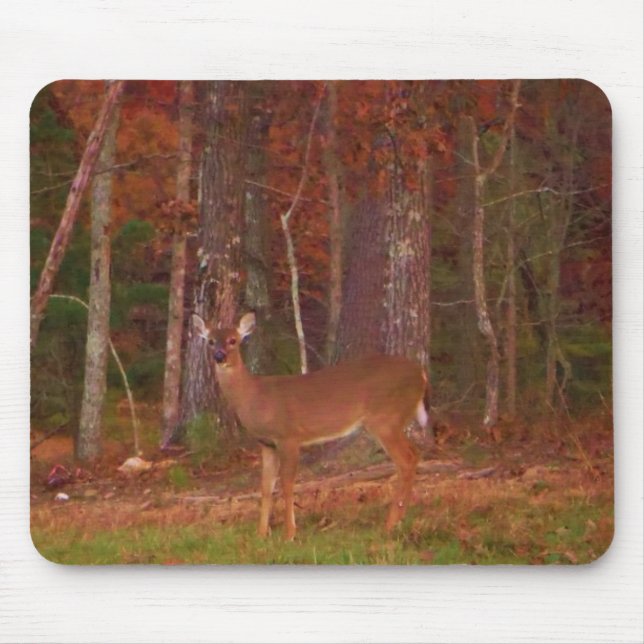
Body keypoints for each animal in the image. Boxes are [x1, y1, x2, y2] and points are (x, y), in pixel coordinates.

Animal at [192, 312, 430, 540]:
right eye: (211, 341)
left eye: (233, 340)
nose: (219, 356)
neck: (255, 397)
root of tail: (422, 374)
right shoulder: (267, 443)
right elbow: (266, 487)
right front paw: (261, 534)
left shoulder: (288, 436)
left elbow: (287, 484)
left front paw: (289, 533)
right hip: (392, 420)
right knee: (415, 454)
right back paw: (399, 519)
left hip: (385, 418)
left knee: (406, 459)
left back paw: (390, 525)